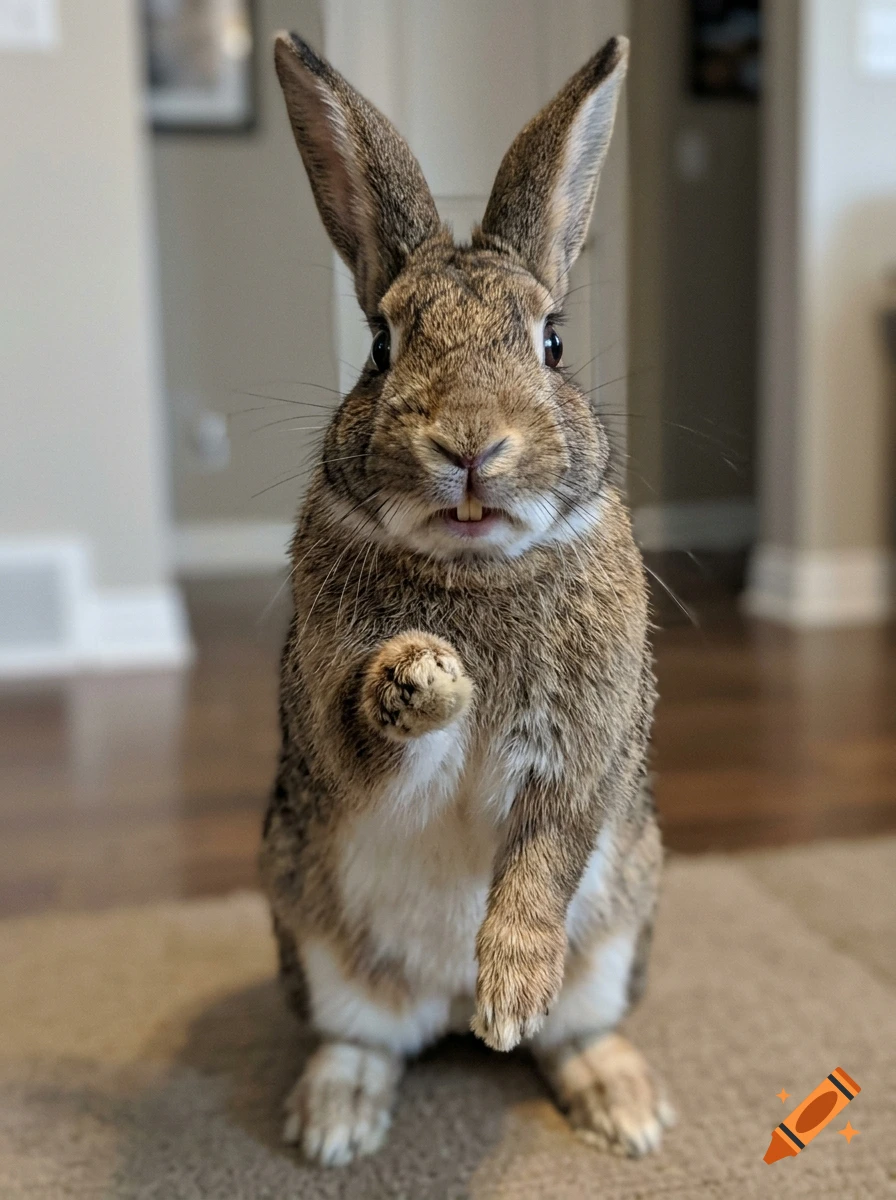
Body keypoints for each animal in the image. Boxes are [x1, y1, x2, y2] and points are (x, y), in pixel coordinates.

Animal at [260, 31, 674, 1168]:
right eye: (380, 346)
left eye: (553, 342)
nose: (470, 445)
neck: (471, 568)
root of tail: (431, 1009)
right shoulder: (328, 731)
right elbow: (369, 740)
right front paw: (423, 677)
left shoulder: (587, 744)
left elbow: (545, 853)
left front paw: (512, 999)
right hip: (309, 932)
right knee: (361, 1038)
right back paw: (335, 1122)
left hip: (620, 928)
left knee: (578, 1029)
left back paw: (618, 1099)